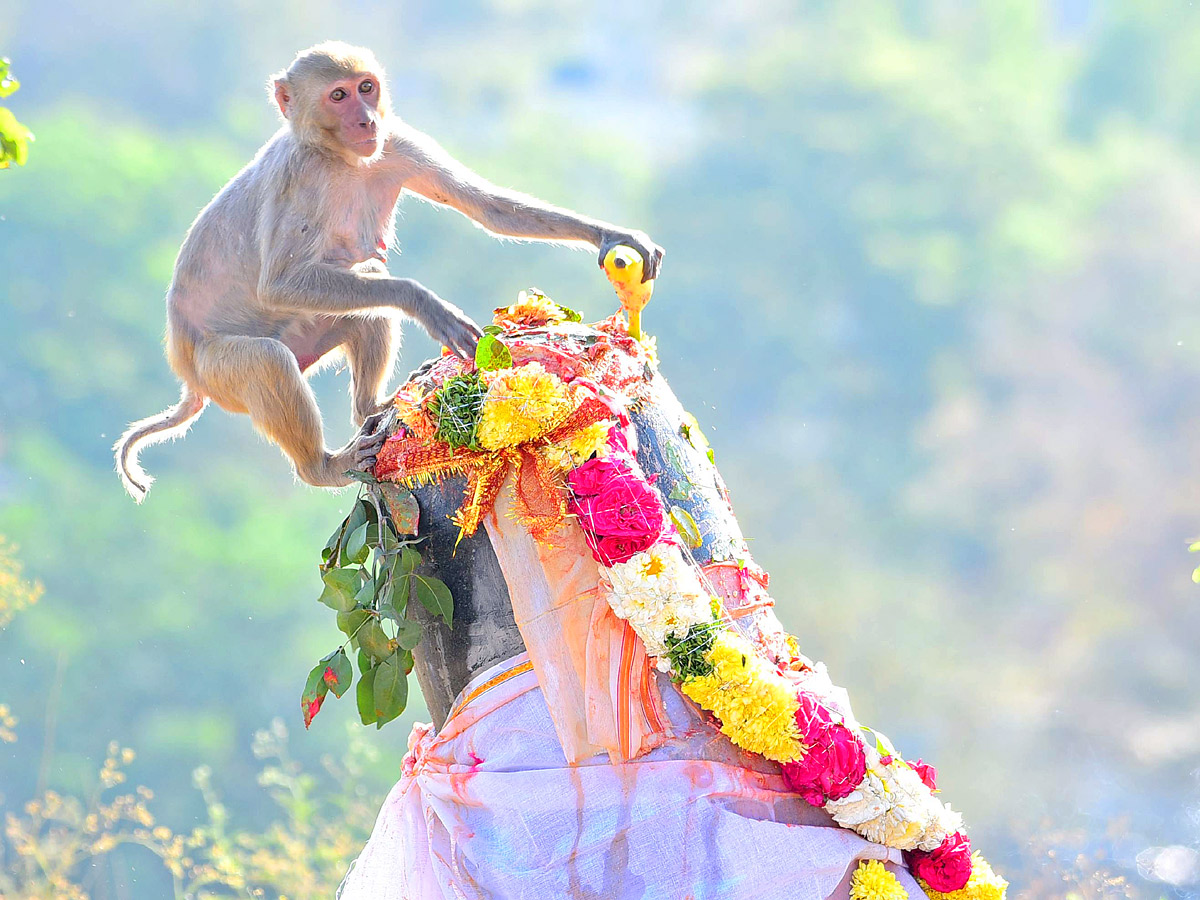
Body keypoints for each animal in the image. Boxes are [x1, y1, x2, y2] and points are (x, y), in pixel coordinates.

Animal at [114, 42, 667, 504]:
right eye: (337, 96)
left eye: (365, 88)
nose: (364, 122)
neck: (338, 155)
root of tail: (186, 372)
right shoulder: (300, 176)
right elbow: (279, 283)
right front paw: (426, 303)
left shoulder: (396, 140)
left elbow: (486, 207)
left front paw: (611, 235)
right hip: (216, 370)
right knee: (269, 359)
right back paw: (322, 467)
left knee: (365, 298)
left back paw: (370, 407)